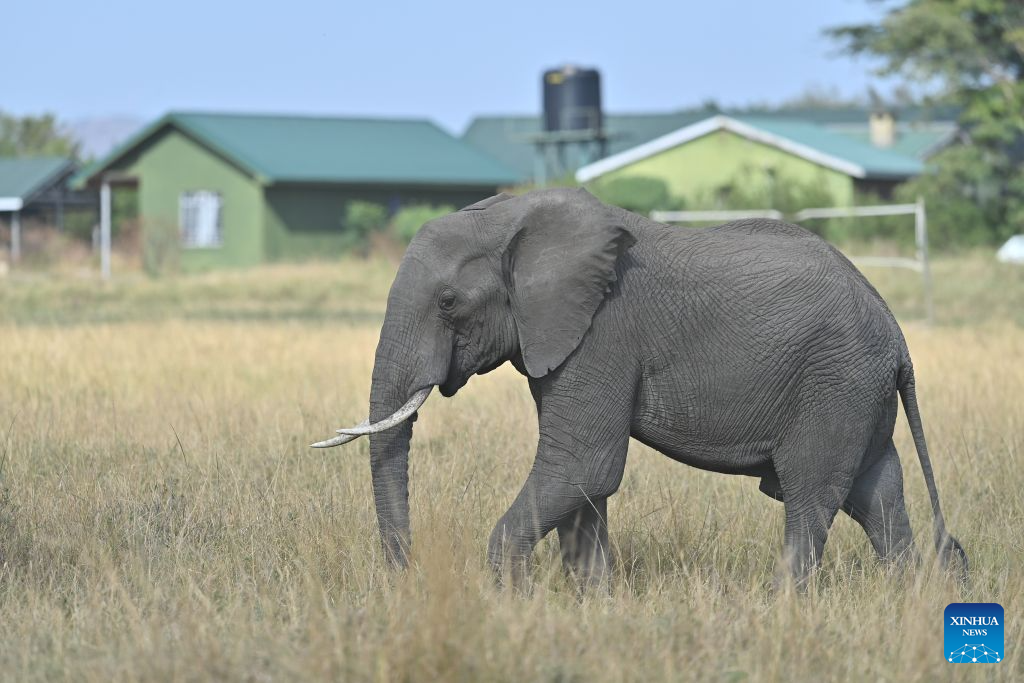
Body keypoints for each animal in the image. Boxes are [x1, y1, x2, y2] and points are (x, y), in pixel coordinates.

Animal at [312, 187, 967, 587]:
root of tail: (897, 335)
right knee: (877, 493)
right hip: (857, 387)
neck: (515, 219)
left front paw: (506, 595)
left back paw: (784, 604)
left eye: (448, 303)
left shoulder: (603, 333)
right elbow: (581, 481)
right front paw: (594, 603)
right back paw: (919, 590)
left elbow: (583, 464)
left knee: (813, 495)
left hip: (836, 379)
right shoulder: (561, 338)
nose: (409, 576)